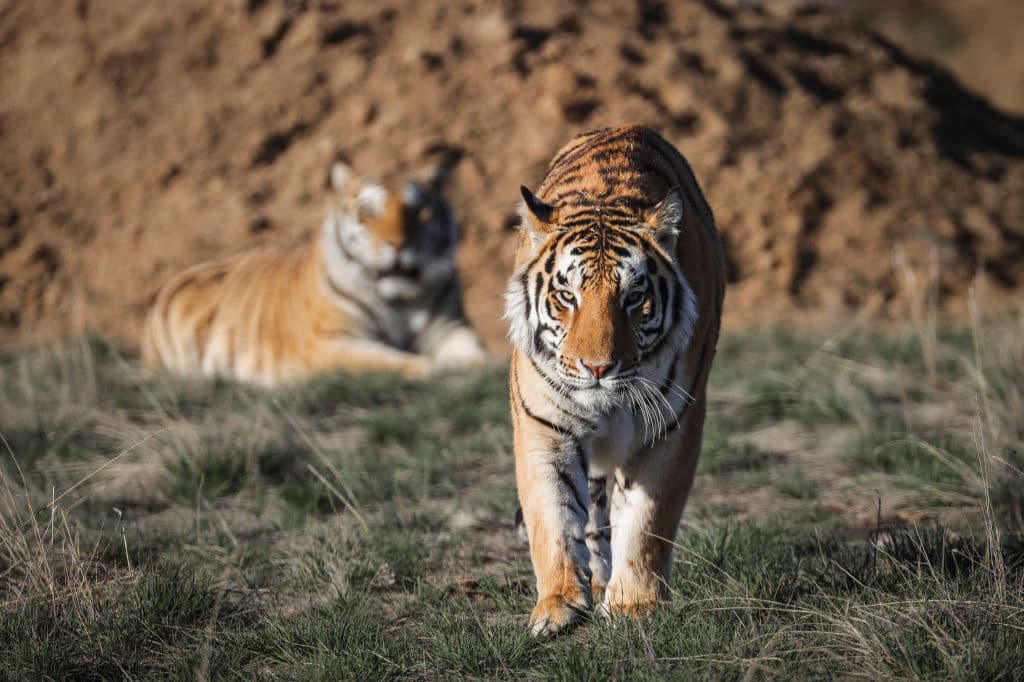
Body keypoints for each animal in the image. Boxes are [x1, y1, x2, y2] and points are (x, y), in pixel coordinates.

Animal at [142, 162, 487, 385]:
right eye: (368, 213)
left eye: (421, 211)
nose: (399, 244)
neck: (399, 301)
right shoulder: (329, 342)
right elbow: (383, 360)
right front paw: (436, 369)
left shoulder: (449, 328)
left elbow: (475, 352)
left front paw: (480, 367)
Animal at [504, 125, 725, 636]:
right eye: (567, 296)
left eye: (634, 297)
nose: (597, 368)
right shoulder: (544, 427)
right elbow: (553, 517)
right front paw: (558, 605)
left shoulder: (672, 427)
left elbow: (647, 522)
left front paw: (633, 604)